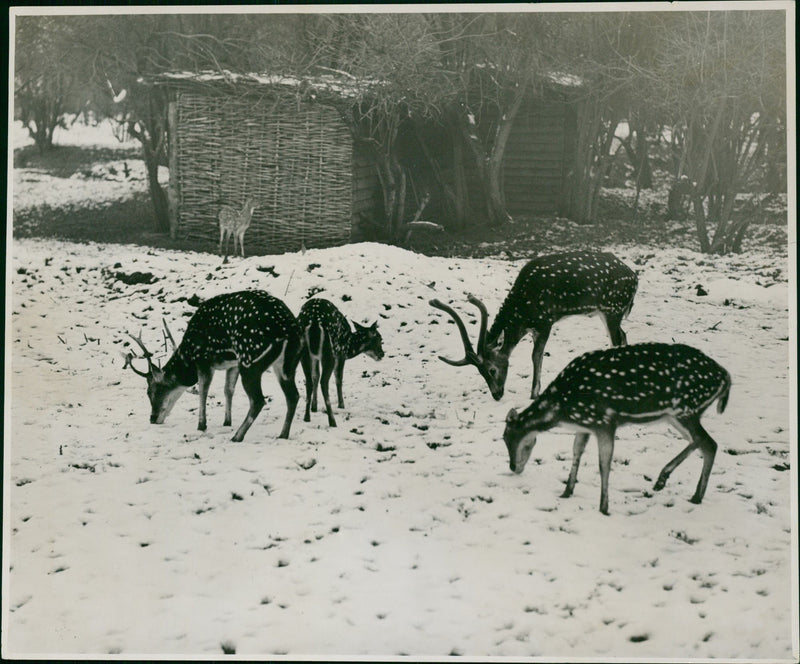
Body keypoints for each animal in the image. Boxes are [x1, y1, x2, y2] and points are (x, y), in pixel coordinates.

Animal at [123, 290, 302, 440]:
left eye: (152, 391)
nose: (152, 418)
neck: (188, 354)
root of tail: (288, 330)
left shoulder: (204, 359)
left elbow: (203, 390)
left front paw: (201, 425)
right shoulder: (233, 363)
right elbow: (228, 390)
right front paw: (227, 421)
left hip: (250, 359)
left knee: (258, 400)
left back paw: (237, 436)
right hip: (286, 363)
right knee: (293, 395)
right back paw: (283, 434)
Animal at [296, 298, 384, 428]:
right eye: (379, 338)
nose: (382, 354)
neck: (349, 346)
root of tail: (314, 322)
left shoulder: (315, 357)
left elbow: (315, 376)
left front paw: (314, 407)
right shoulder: (340, 354)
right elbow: (338, 378)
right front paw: (341, 405)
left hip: (304, 352)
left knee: (309, 381)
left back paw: (307, 417)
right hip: (329, 352)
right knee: (324, 382)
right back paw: (332, 421)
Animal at [432, 252, 636, 400]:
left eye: (492, 369)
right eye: (480, 373)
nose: (496, 395)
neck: (522, 311)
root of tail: (635, 278)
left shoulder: (545, 321)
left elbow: (536, 355)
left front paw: (534, 393)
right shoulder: (533, 328)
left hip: (613, 307)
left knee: (616, 340)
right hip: (607, 312)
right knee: (623, 335)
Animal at [504, 342, 736, 512]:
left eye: (508, 437)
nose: (513, 467)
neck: (562, 407)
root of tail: (726, 377)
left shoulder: (605, 421)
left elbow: (604, 463)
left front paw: (603, 507)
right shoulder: (585, 425)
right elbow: (576, 451)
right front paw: (566, 492)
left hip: (685, 408)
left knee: (705, 441)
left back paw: (666, 481)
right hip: (677, 415)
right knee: (707, 444)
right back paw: (693, 495)